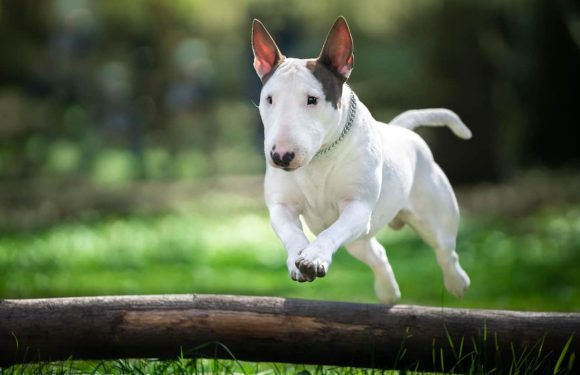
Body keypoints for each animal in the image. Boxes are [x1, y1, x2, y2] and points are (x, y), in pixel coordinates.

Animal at [251, 18, 468, 306]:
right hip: (360, 239)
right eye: (269, 99)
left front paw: (313, 257)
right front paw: (299, 259)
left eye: (312, 99)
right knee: (377, 254)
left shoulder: (358, 207)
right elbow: (292, 232)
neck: (320, 157)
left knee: (446, 251)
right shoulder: (281, 207)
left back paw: (457, 283)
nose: (280, 156)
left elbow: (330, 232)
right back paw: (388, 292)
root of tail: (402, 130)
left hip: (433, 217)